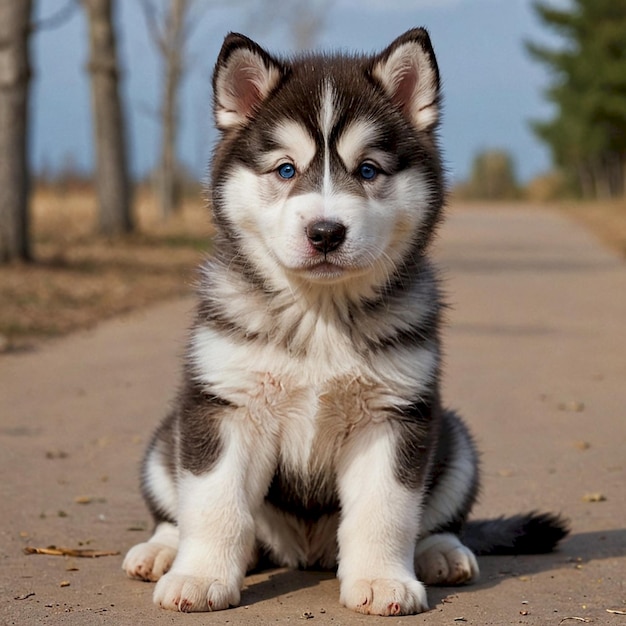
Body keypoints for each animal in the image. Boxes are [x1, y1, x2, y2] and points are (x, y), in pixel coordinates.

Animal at [122, 29, 564, 616]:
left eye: (368, 170)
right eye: (286, 170)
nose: (326, 232)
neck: (320, 315)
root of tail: (303, 553)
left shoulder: (395, 416)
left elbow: (386, 511)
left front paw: (382, 580)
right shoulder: (225, 407)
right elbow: (215, 504)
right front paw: (199, 576)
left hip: (456, 439)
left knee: (437, 520)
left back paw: (442, 553)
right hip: (165, 439)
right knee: (177, 511)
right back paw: (161, 550)